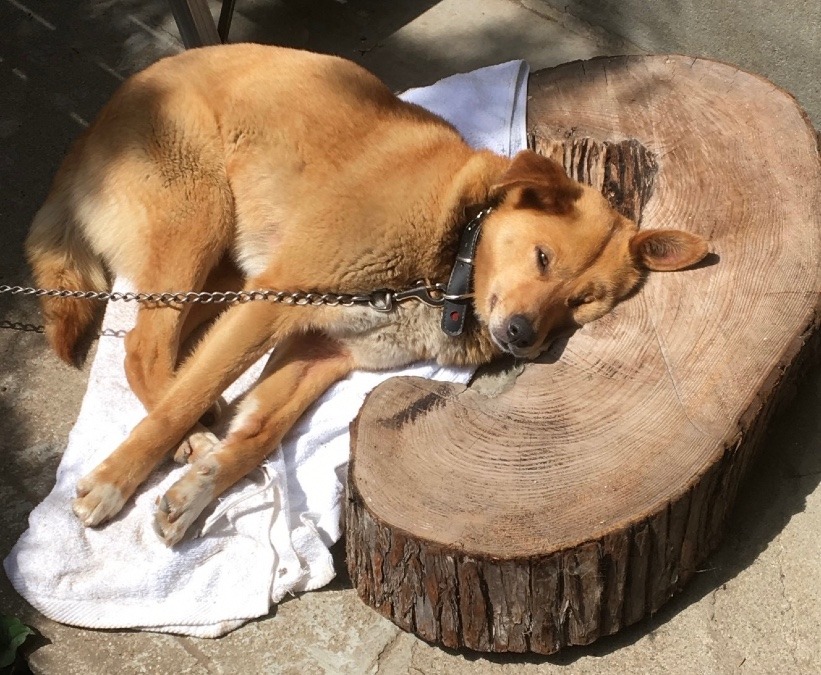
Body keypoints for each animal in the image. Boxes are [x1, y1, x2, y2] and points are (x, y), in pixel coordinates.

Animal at [25, 45, 704, 548]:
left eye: (581, 304)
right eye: (542, 258)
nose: (521, 337)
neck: (450, 253)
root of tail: (92, 129)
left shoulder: (322, 350)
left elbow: (260, 433)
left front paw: (200, 490)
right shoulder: (277, 298)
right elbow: (188, 401)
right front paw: (119, 481)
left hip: (225, 276)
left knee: (170, 354)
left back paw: (199, 439)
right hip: (200, 221)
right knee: (143, 350)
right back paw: (179, 440)